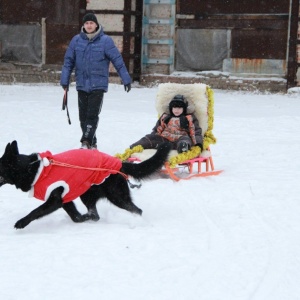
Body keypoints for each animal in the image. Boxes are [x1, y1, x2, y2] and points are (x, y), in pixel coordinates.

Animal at [0, 141, 171, 230]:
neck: (34, 170)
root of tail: (119, 163)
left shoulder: (54, 200)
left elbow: (35, 211)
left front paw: (21, 222)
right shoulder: (65, 200)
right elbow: (75, 217)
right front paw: (81, 218)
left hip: (116, 196)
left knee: (137, 210)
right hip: (87, 194)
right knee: (95, 214)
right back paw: (90, 217)